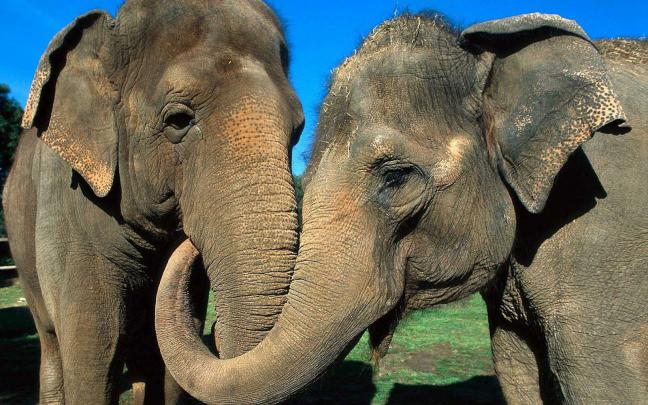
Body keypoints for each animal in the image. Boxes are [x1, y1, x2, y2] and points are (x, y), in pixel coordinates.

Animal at [2, 0, 303, 403]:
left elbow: (170, 364)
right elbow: (93, 351)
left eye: (298, 131)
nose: (189, 242)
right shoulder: (64, 204)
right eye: (178, 120)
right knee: (53, 346)